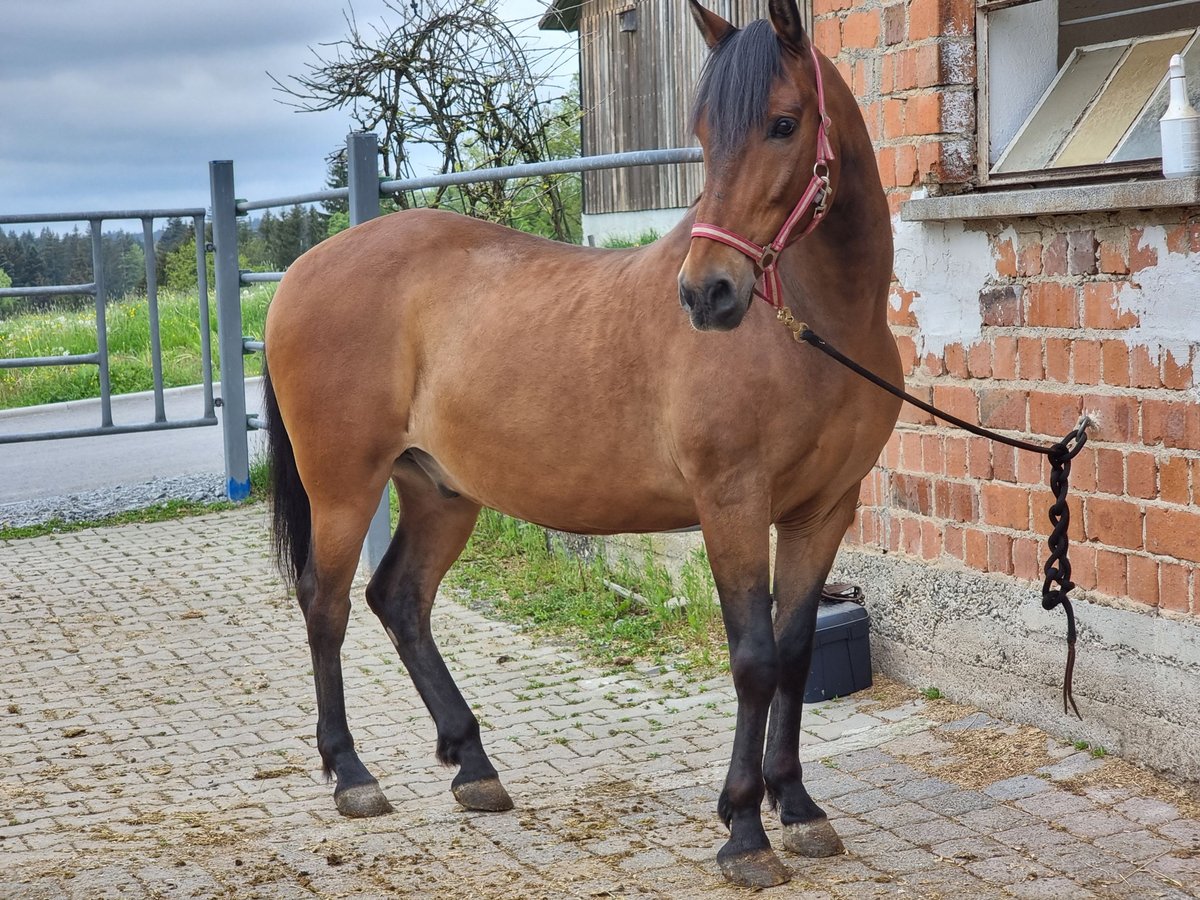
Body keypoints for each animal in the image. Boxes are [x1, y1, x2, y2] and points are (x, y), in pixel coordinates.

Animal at [265, 0, 902, 888]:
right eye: (703, 133)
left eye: (783, 123)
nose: (706, 295)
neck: (810, 327)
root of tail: (302, 270)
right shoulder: (732, 505)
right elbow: (754, 659)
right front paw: (745, 829)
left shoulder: (822, 511)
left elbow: (797, 654)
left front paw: (799, 808)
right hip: (343, 487)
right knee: (325, 607)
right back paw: (353, 775)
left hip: (439, 491)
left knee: (399, 600)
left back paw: (473, 765)